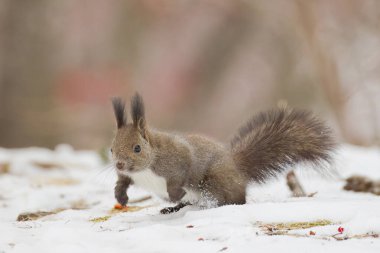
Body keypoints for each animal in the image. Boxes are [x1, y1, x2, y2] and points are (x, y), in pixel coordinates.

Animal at [110, 93, 336, 213]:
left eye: (137, 148)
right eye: (111, 149)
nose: (119, 164)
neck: (145, 168)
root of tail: (237, 168)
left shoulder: (179, 157)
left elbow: (180, 174)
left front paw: (175, 193)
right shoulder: (127, 175)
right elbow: (122, 181)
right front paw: (120, 196)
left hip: (215, 181)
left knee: (233, 199)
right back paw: (173, 208)